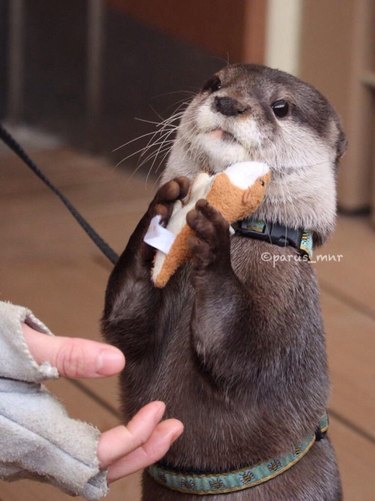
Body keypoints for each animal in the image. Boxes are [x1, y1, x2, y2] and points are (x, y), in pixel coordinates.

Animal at [102, 64, 346, 498]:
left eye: (281, 107)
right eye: (214, 83)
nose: (229, 102)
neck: (248, 232)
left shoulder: (288, 304)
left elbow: (241, 351)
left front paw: (214, 238)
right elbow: (126, 323)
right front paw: (160, 208)